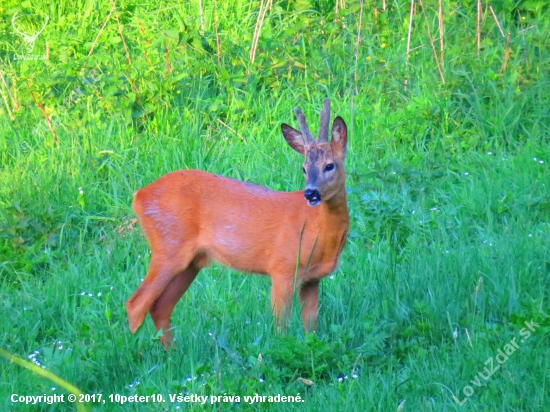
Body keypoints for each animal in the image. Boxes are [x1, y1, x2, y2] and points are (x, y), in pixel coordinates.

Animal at [126, 99, 350, 348]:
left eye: (329, 165)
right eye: (303, 168)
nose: (310, 193)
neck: (317, 232)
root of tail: (139, 195)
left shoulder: (312, 279)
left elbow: (311, 326)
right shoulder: (282, 268)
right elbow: (281, 327)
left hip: (192, 261)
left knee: (160, 306)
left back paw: (172, 352)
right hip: (168, 246)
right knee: (136, 304)